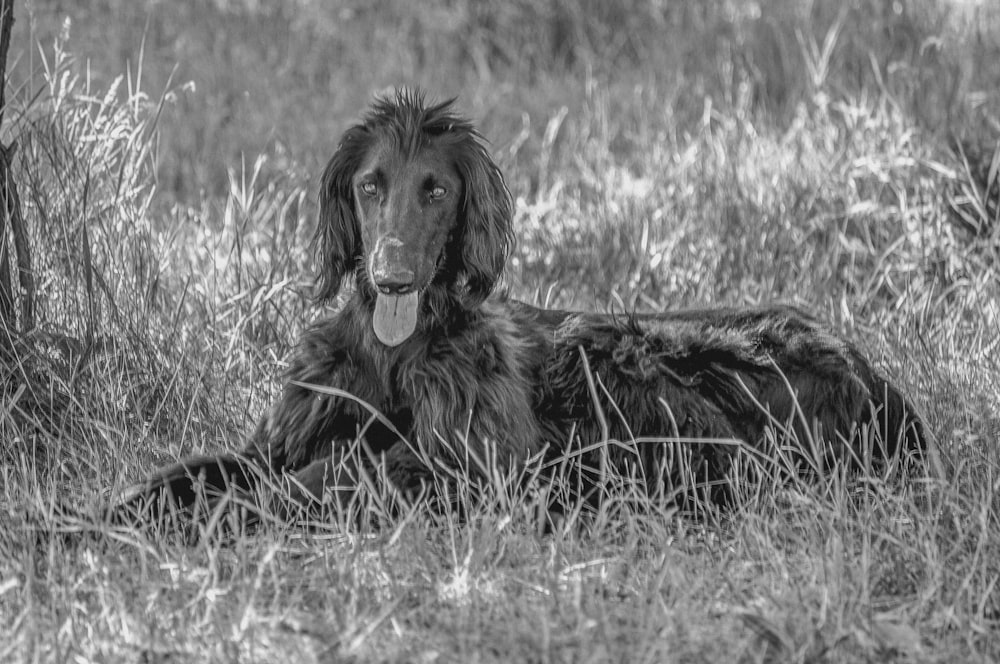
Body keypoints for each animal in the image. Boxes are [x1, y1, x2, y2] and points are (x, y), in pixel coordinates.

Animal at [121, 88, 932, 520]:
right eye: (370, 184)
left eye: (437, 190)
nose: (391, 277)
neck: (394, 356)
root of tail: (883, 386)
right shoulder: (282, 438)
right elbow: (195, 471)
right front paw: (99, 522)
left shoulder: (461, 466)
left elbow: (311, 482)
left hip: (631, 361)